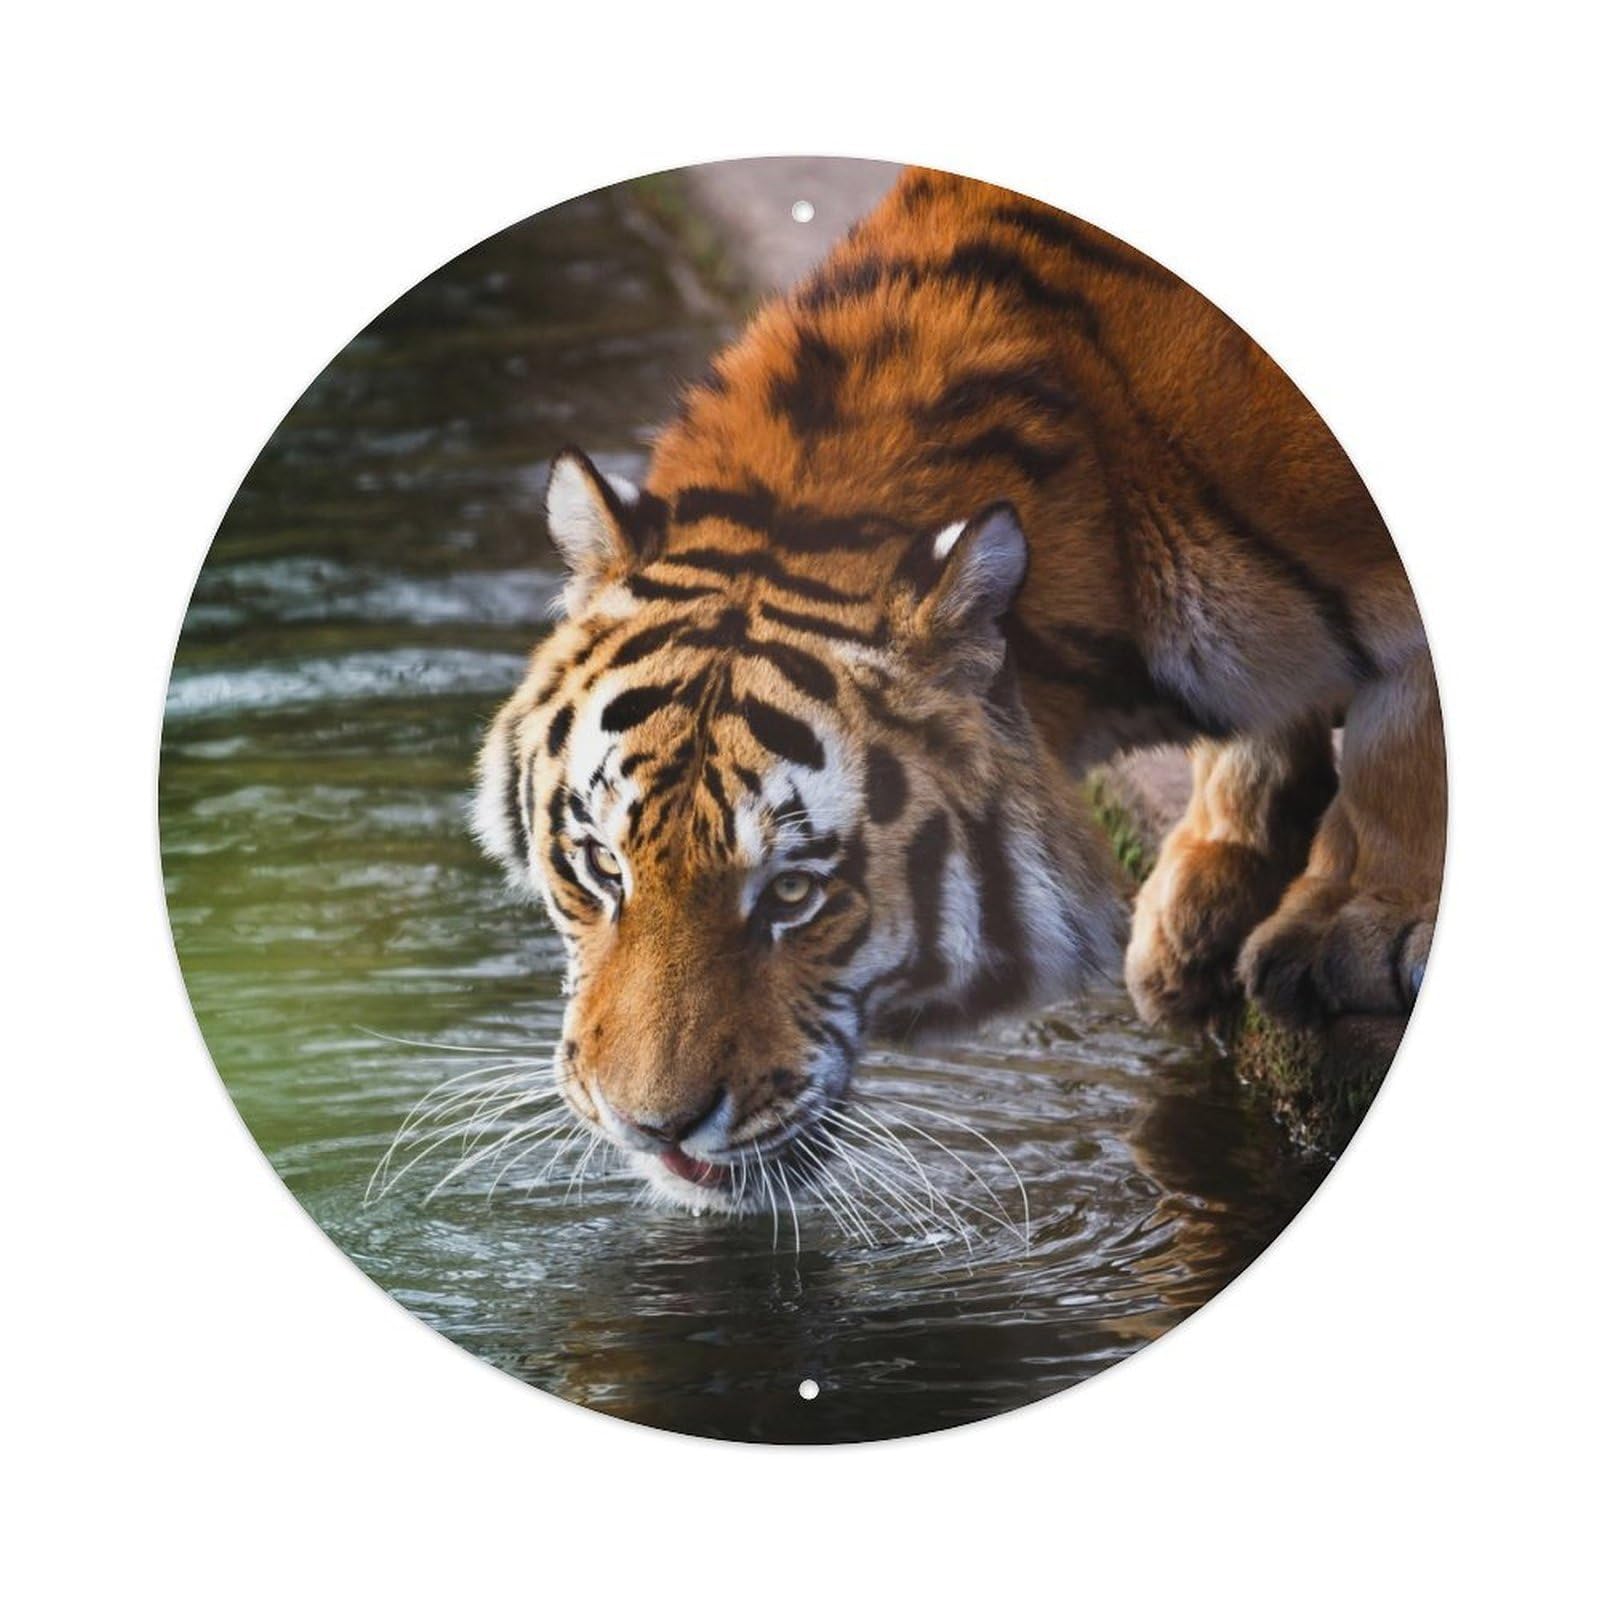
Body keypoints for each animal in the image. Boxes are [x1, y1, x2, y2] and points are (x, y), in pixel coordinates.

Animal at [472, 166, 1446, 1214]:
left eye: (796, 892)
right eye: (601, 866)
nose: (650, 1128)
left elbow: (1408, 726)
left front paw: (1357, 921)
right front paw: (1206, 894)